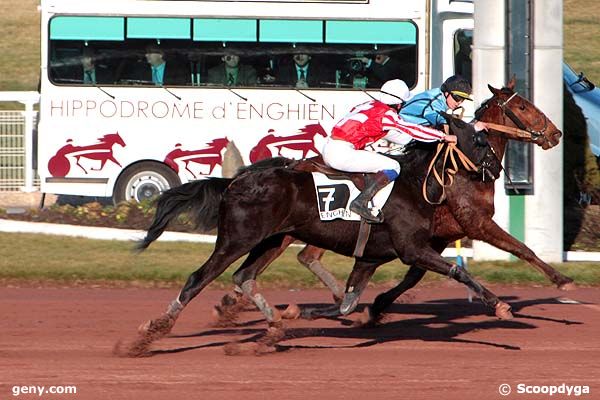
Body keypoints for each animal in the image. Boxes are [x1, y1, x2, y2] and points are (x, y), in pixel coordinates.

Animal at [127, 113, 510, 356]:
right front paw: (500, 305)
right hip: (238, 239)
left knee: (245, 276)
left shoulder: (369, 258)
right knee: (198, 278)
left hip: (271, 240)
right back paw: (147, 336)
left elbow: (346, 303)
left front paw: (299, 314)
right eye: (480, 140)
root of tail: (235, 181)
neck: (413, 184)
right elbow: (459, 271)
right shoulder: (411, 248)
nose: (497, 168)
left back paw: (275, 325)